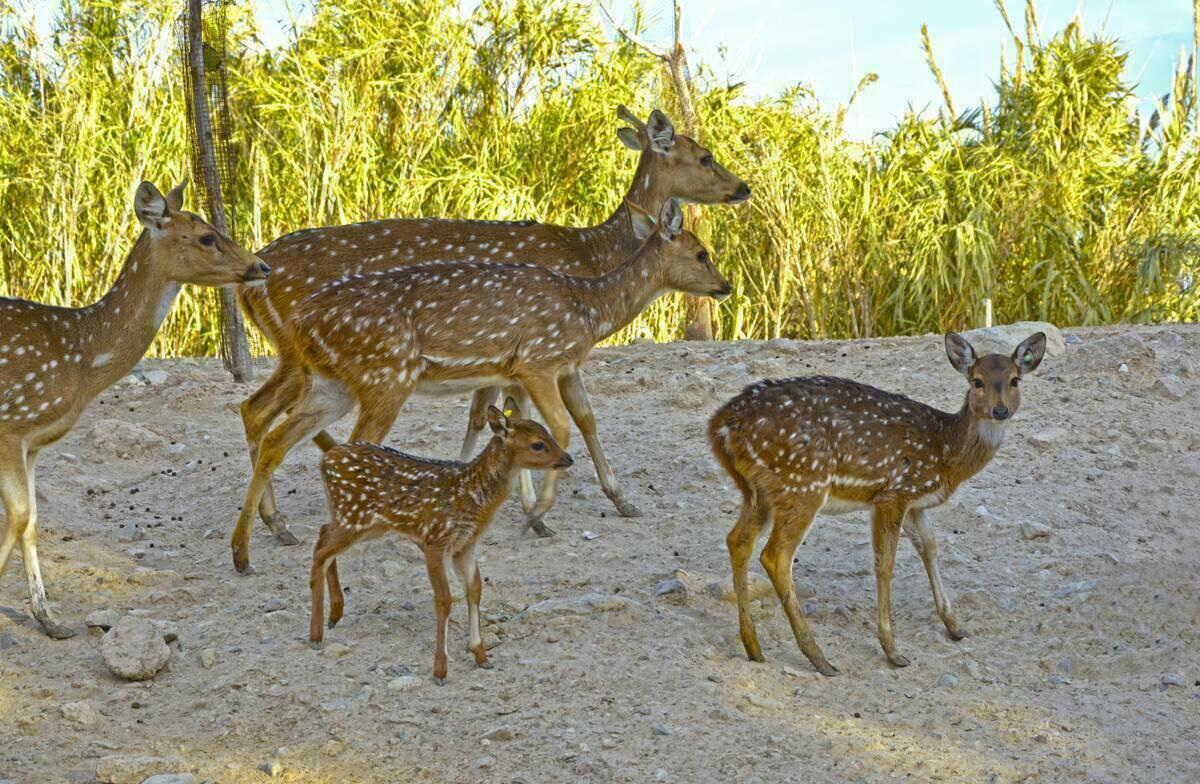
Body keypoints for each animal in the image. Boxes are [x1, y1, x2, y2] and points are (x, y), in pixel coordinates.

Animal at [1, 178, 270, 633]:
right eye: (207, 236)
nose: (262, 266)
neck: (81, 359)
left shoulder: (33, 442)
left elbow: (32, 521)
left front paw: (51, 620)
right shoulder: (12, 423)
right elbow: (19, 516)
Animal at [236, 103, 748, 547]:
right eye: (705, 156)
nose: (743, 187)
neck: (591, 255)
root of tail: (249, 281)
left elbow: (559, 416)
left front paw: (616, 499)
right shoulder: (528, 351)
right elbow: (510, 416)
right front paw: (526, 508)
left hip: (302, 360)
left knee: (257, 411)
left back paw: (272, 524)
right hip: (309, 356)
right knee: (262, 412)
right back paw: (276, 521)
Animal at [309, 393, 571, 681]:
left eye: (548, 434)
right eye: (538, 444)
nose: (568, 458)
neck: (471, 495)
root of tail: (326, 460)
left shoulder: (465, 545)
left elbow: (475, 589)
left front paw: (481, 655)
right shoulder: (435, 538)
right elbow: (445, 598)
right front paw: (440, 669)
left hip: (363, 522)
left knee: (323, 534)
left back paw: (335, 614)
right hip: (354, 517)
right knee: (321, 550)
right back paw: (316, 634)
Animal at [705, 331, 1046, 672]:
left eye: (1014, 380)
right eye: (977, 381)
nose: (1000, 410)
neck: (946, 452)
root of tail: (721, 425)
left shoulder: (916, 502)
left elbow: (930, 548)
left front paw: (955, 626)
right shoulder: (893, 493)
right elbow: (886, 562)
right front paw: (892, 650)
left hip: (758, 491)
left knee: (738, 540)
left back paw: (754, 646)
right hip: (803, 484)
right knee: (775, 556)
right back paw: (819, 658)